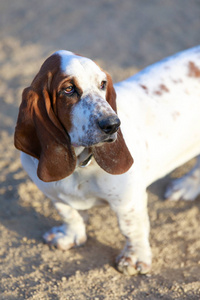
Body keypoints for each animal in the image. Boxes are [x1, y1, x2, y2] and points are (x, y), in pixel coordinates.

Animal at [14, 46, 200, 274]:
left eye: (102, 84)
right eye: (68, 89)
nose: (113, 125)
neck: (81, 165)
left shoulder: (128, 202)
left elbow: (131, 229)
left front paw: (134, 258)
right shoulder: (54, 195)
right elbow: (69, 214)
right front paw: (69, 236)